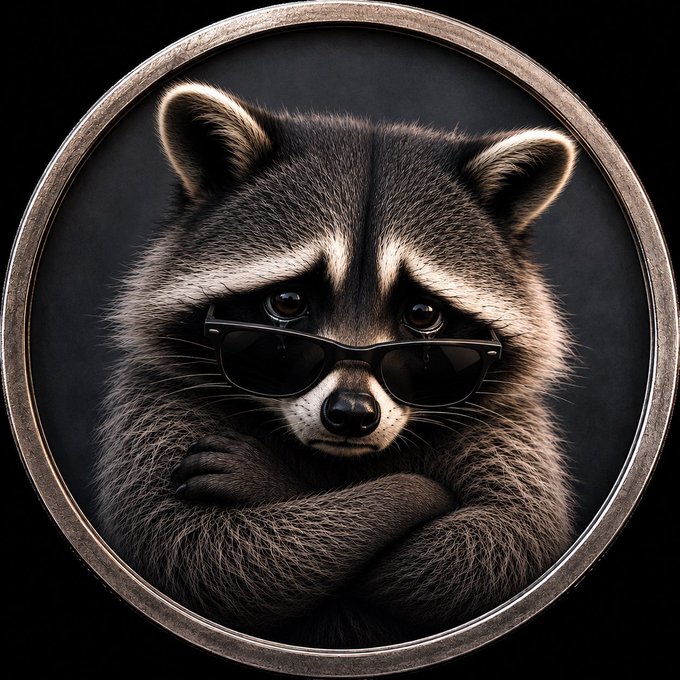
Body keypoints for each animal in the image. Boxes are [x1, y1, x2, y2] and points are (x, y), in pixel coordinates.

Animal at [94, 82, 576, 648]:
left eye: (423, 314)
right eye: (287, 303)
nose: (351, 414)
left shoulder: (509, 424)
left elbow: (495, 541)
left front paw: (272, 479)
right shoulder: (158, 397)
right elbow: (191, 545)